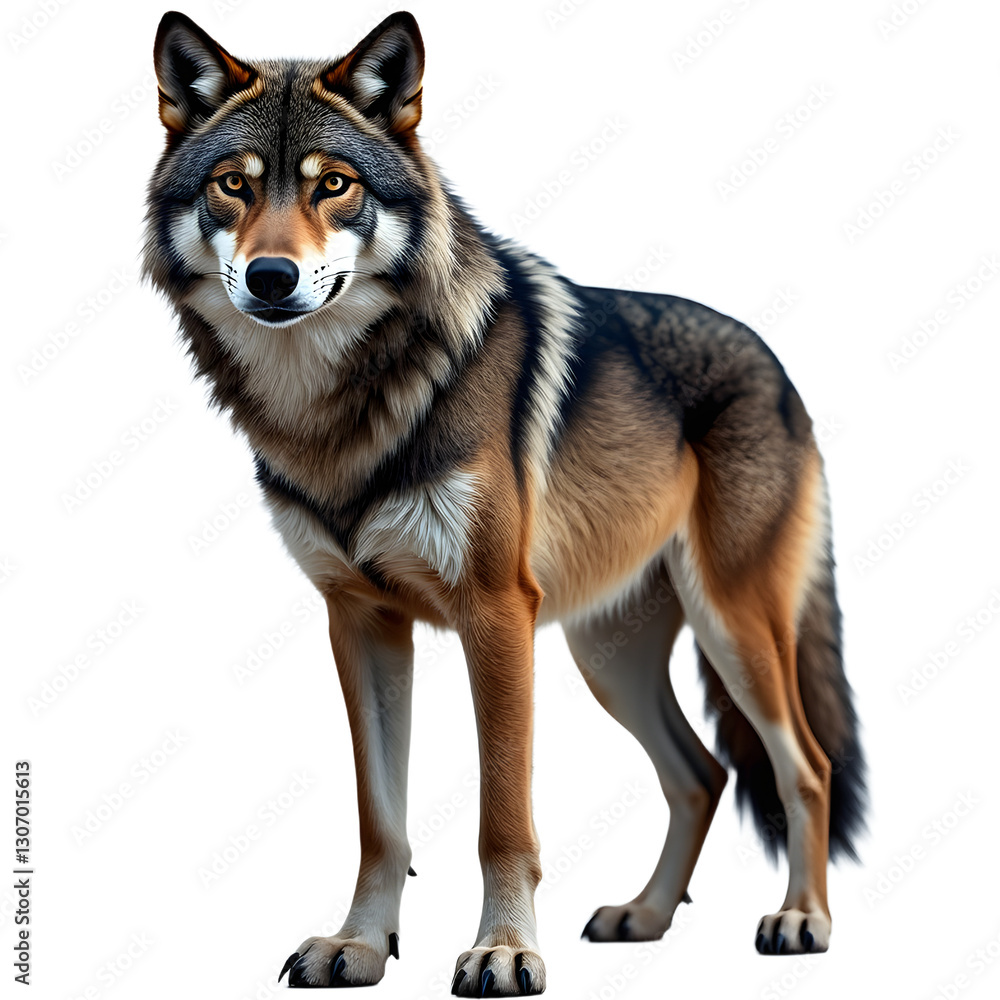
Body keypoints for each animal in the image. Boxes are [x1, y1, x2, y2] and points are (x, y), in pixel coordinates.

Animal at [144, 10, 866, 994]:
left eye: (334, 186)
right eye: (232, 186)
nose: (271, 278)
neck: (341, 414)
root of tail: (779, 366)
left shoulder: (496, 615)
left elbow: (502, 818)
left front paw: (505, 951)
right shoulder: (360, 622)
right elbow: (381, 820)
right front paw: (359, 946)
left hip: (733, 631)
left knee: (808, 767)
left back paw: (801, 919)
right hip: (608, 659)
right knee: (702, 773)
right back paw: (644, 916)